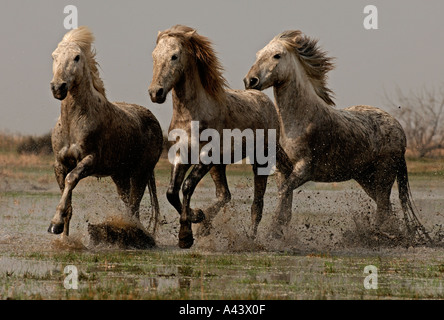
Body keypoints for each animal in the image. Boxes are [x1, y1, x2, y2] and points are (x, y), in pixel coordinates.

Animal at [49, 26, 163, 238]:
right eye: (54, 56)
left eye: (77, 57)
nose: (58, 87)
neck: (73, 122)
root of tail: (153, 119)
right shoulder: (60, 164)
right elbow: (68, 204)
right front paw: (62, 235)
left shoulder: (90, 160)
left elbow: (71, 180)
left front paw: (55, 223)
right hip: (120, 175)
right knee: (129, 205)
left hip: (141, 172)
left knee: (134, 206)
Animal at [149, 25, 294, 250]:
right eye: (155, 55)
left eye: (174, 56)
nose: (156, 92)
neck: (192, 114)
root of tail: (265, 101)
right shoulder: (182, 154)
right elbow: (172, 192)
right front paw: (197, 218)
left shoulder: (207, 155)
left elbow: (187, 185)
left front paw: (186, 235)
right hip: (220, 165)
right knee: (224, 194)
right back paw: (206, 224)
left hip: (260, 159)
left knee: (257, 204)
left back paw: (252, 238)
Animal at [243, 30, 430, 241]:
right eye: (258, 54)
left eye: (277, 55)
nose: (250, 81)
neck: (300, 119)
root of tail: (399, 128)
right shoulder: (283, 170)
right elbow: (285, 202)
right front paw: (277, 234)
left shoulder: (303, 170)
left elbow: (284, 195)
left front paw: (271, 234)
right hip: (366, 178)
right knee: (387, 209)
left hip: (384, 175)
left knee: (383, 208)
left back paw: (377, 236)